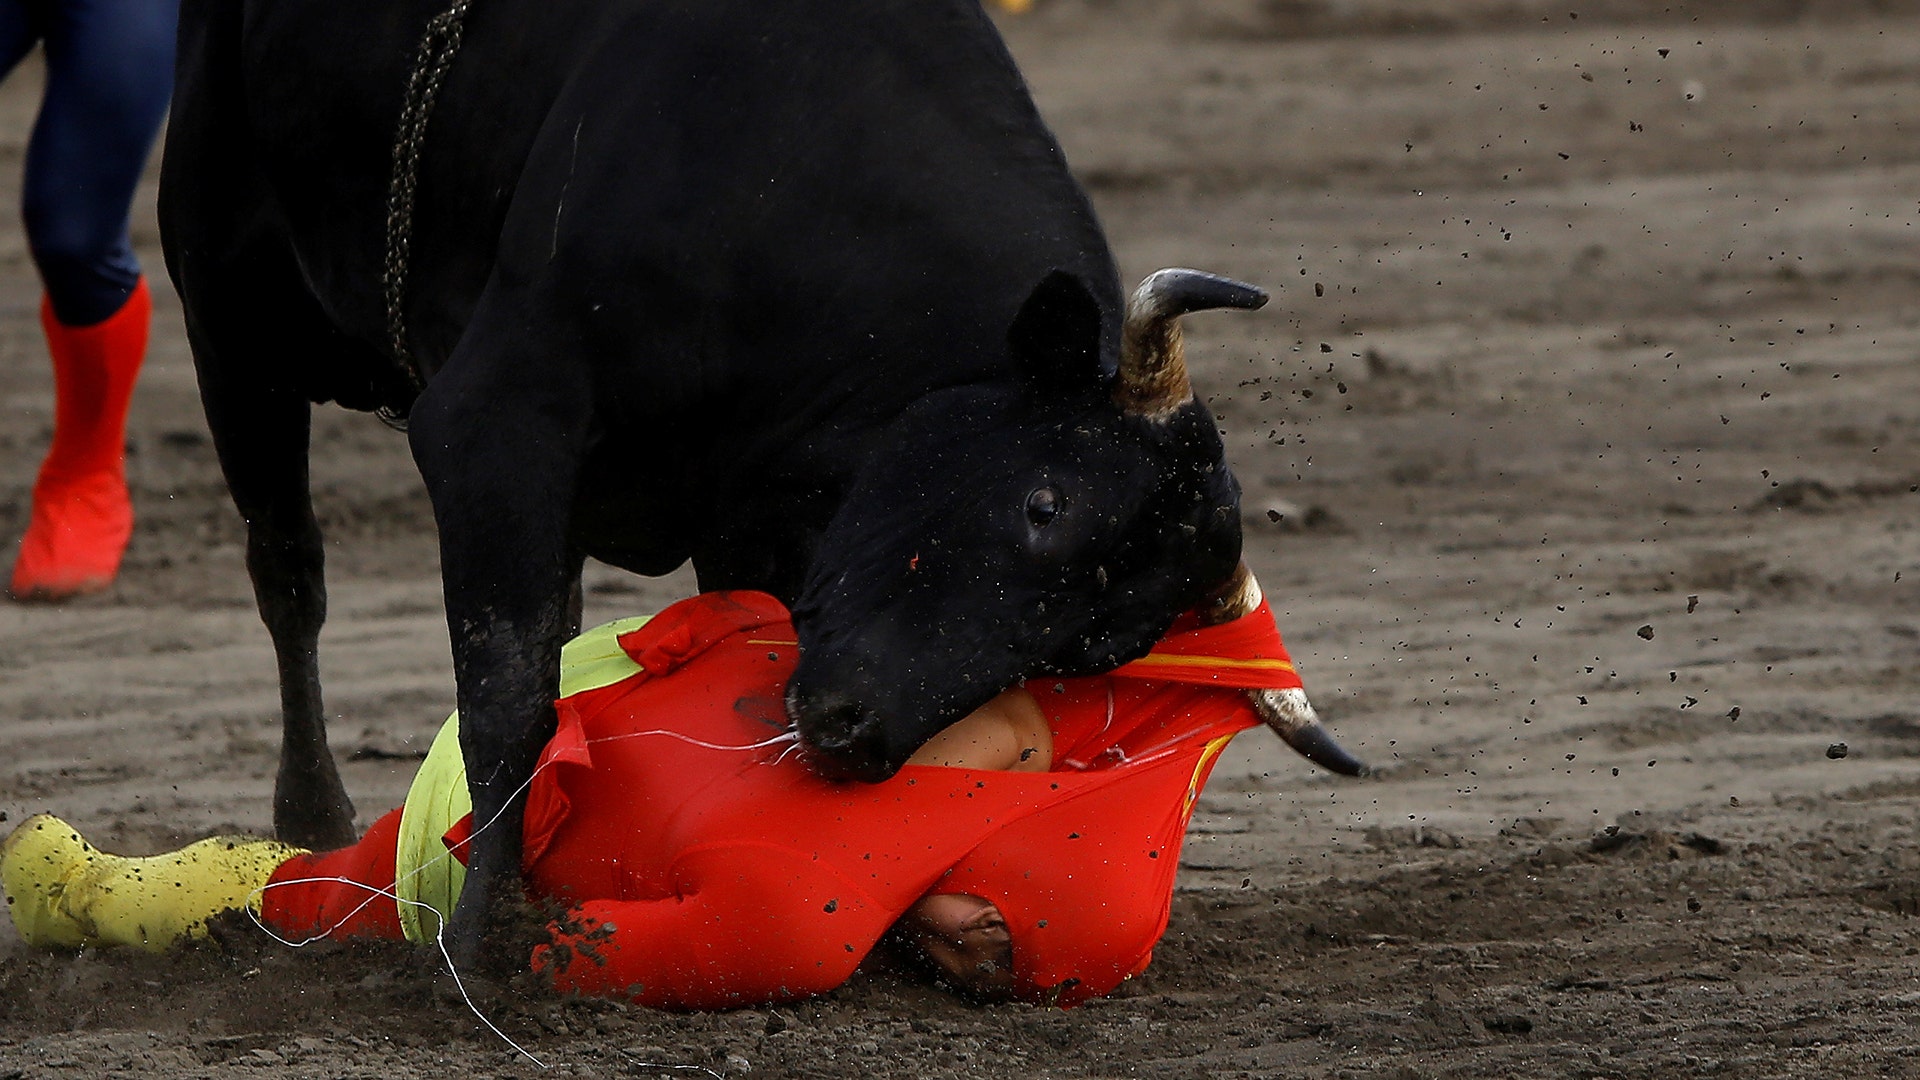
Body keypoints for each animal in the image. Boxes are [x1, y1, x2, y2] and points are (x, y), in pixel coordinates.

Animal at [159, 0, 1361, 967]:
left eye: (1095, 650)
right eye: (1044, 505)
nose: (858, 733)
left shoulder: (758, 521)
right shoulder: (497, 424)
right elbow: (505, 689)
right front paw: (473, 939)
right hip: (227, 316)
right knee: (290, 570)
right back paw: (311, 811)